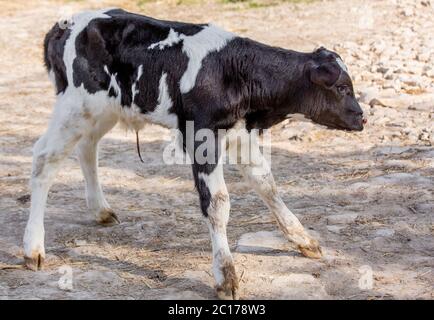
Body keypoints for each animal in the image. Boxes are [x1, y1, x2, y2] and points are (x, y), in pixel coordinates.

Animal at [22, 8, 362, 298]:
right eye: (342, 88)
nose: (362, 117)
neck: (233, 70)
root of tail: (64, 23)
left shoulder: (240, 133)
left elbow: (266, 183)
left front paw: (304, 240)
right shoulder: (200, 136)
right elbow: (218, 203)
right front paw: (226, 276)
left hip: (103, 109)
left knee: (87, 147)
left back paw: (100, 210)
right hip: (74, 106)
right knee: (44, 159)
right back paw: (33, 248)